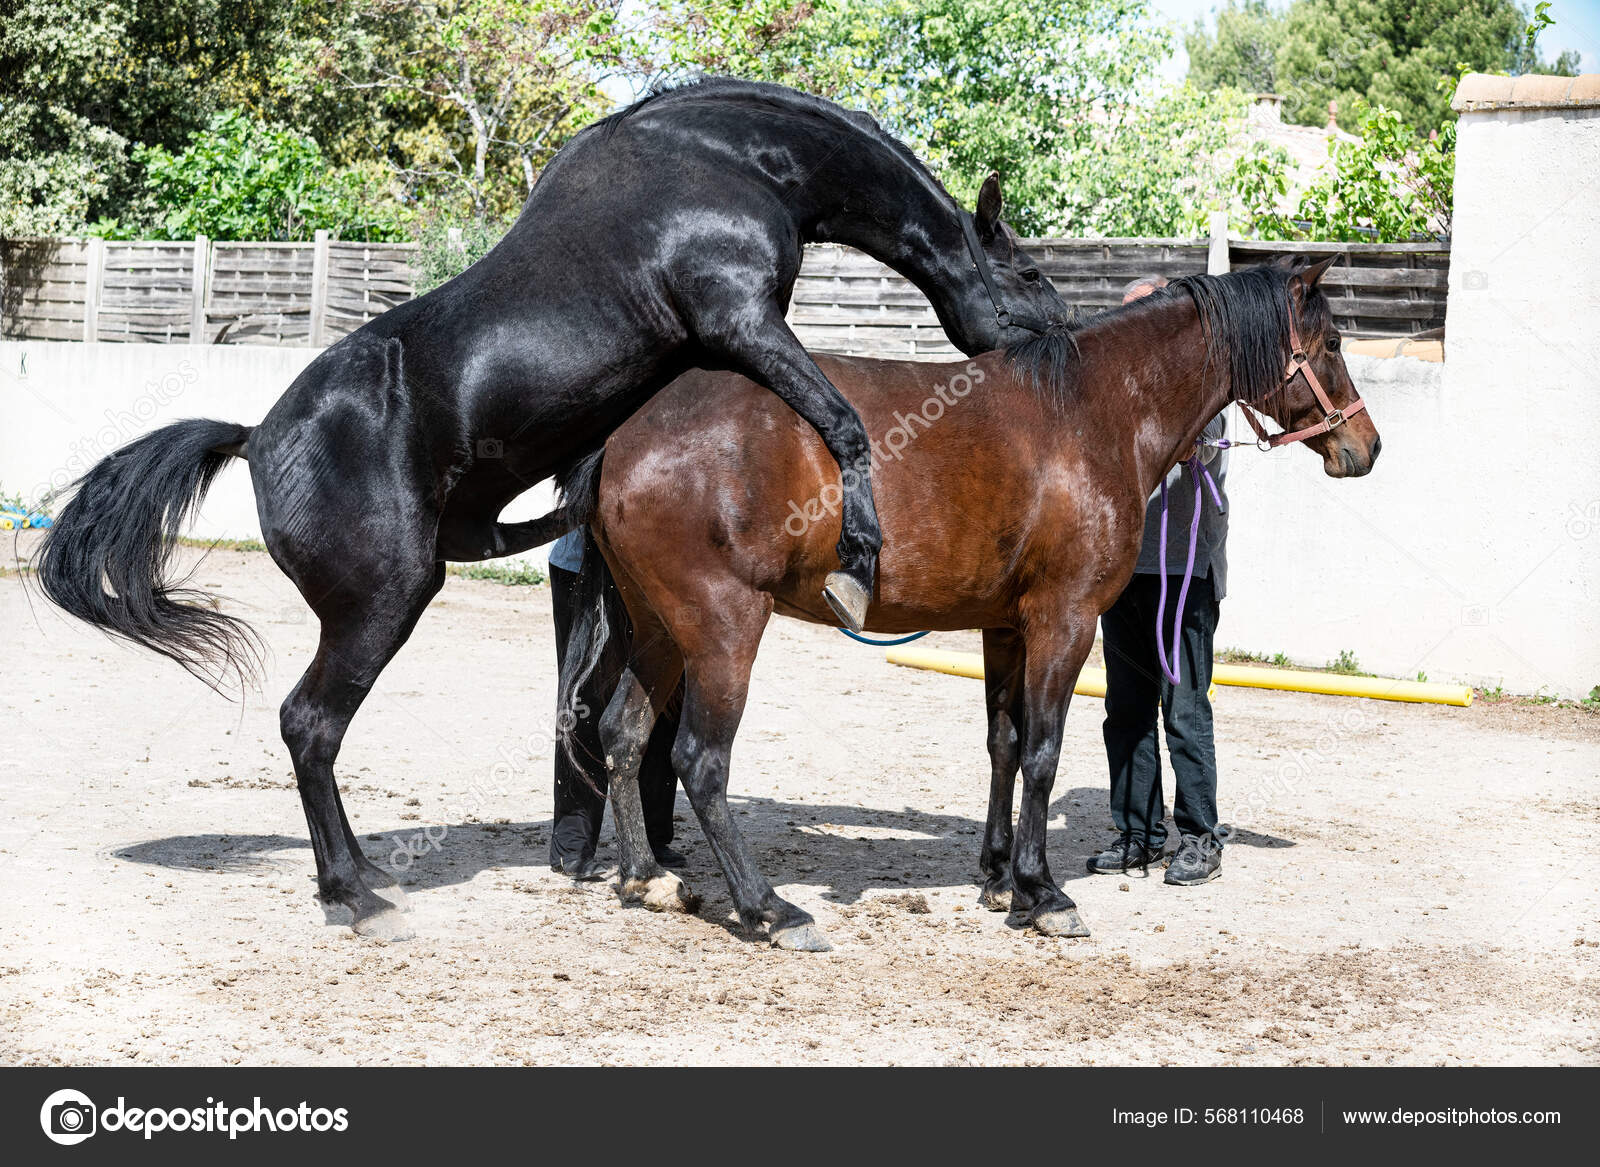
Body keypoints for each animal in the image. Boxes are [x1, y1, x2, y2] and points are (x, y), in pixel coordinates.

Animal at [37, 77, 1062, 934]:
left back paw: (367, 878)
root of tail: (256, 437)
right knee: (309, 724)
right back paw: (352, 896)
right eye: (1031, 275)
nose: (1057, 342)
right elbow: (845, 425)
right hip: (383, 604)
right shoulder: (743, 321)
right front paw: (857, 558)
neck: (725, 159)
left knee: (319, 733)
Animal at [560, 254, 1376, 947]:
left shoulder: (1004, 627)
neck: (1093, 410)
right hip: (722, 629)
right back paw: (769, 909)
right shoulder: (1064, 620)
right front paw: (1042, 893)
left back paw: (647, 878)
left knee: (624, 732)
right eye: (1334, 340)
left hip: (661, 630)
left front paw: (999, 877)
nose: (1365, 447)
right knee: (700, 761)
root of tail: (626, 436)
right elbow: (1043, 751)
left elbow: (1004, 744)